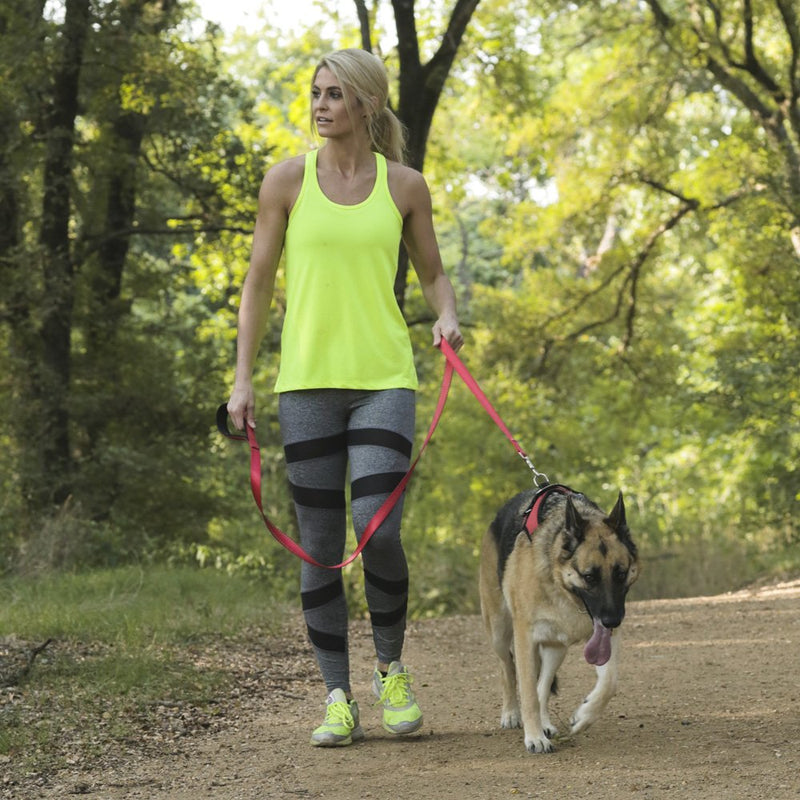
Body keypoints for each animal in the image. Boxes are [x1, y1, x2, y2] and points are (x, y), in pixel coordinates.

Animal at [478, 484, 640, 752]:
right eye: (589, 577)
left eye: (620, 573)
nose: (612, 621)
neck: (561, 588)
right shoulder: (525, 638)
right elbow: (527, 693)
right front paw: (534, 737)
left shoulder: (605, 640)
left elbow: (609, 682)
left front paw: (583, 717)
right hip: (499, 632)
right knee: (507, 668)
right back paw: (511, 713)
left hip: (557, 647)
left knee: (542, 685)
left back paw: (544, 722)